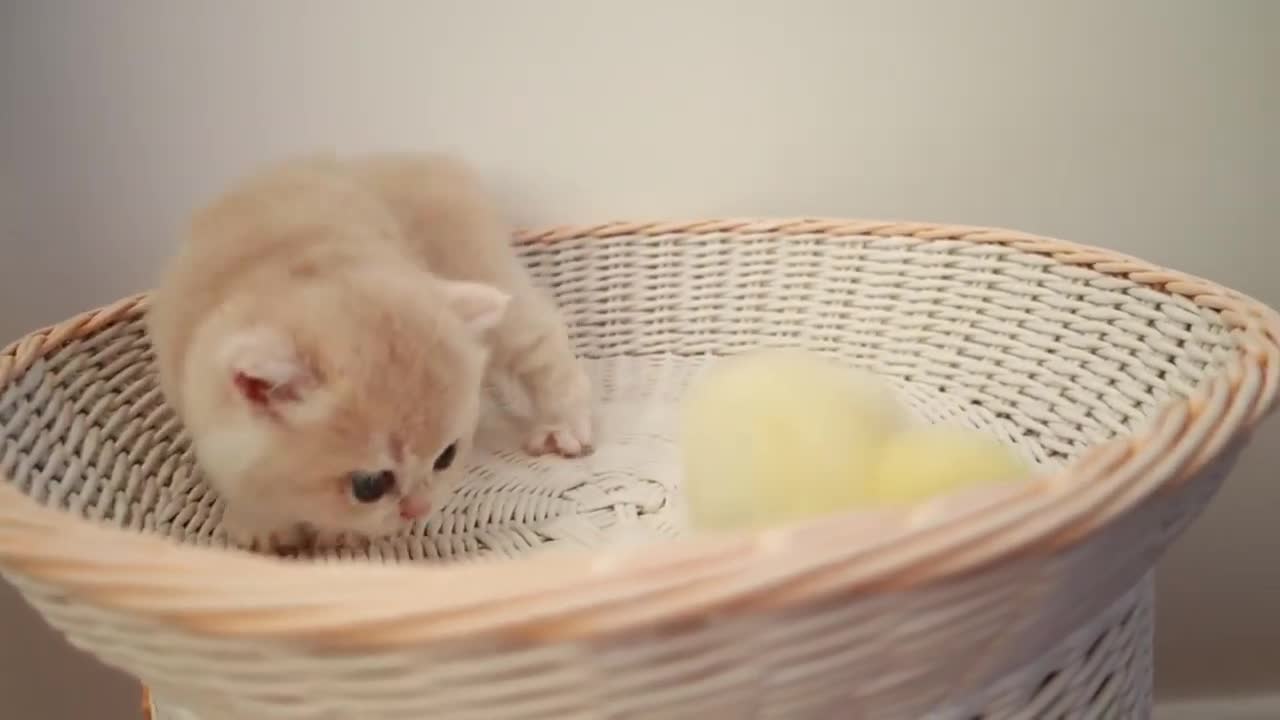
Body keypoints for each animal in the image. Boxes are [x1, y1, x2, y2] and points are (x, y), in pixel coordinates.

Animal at [147, 148, 591, 545]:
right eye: (369, 486)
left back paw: (562, 426)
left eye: (445, 457)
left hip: (480, 269)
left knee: (539, 338)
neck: (299, 266)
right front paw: (258, 522)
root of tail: (420, 159)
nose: (418, 509)